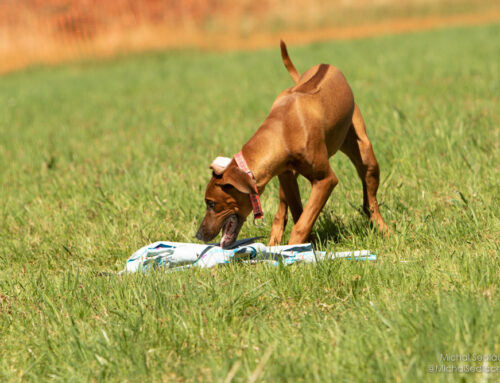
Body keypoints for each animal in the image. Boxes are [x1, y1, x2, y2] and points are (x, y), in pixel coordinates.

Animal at [194, 41, 386, 249]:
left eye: (211, 203)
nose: (198, 235)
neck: (282, 129)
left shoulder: (326, 180)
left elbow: (302, 223)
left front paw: (297, 245)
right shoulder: (285, 175)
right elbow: (299, 214)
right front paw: (304, 246)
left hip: (366, 154)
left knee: (370, 201)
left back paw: (384, 229)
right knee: (282, 212)